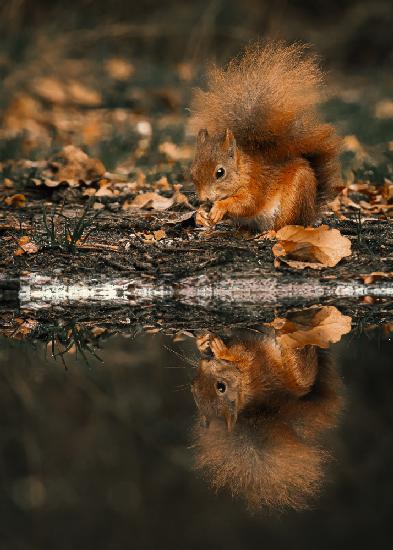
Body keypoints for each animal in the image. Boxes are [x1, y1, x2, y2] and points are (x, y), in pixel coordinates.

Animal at [190, 43, 340, 231]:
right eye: (192, 173)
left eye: (220, 172)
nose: (203, 199)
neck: (242, 171)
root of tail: (310, 213)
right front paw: (200, 213)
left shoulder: (256, 183)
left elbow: (248, 203)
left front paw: (220, 207)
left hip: (294, 198)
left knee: (285, 225)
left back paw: (271, 233)